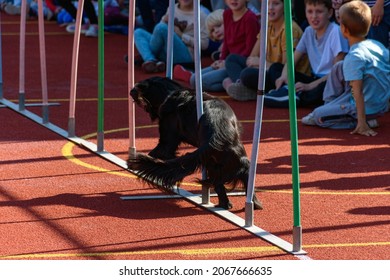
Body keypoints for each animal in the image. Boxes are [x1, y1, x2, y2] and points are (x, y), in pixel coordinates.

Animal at [128, 76, 262, 210]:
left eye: (142, 87)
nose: (131, 91)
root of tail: (215, 137)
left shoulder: (166, 142)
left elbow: (158, 154)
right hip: (237, 164)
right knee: (228, 184)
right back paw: (250, 205)